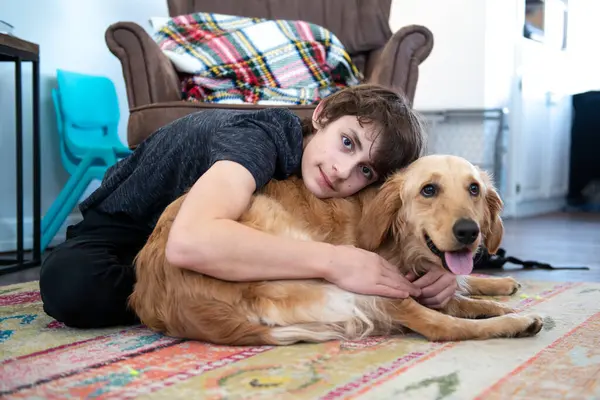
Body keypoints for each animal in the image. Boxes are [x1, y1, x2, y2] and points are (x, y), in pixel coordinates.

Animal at [127, 155, 544, 346]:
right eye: (429, 189)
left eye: (474, 188)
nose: (468, 231)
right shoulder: (393, 276)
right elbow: (451, 303)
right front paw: (499, 307)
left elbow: (461, 285)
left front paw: (499, 286)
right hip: (342, 272)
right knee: (440, 328)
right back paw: (516, 322)